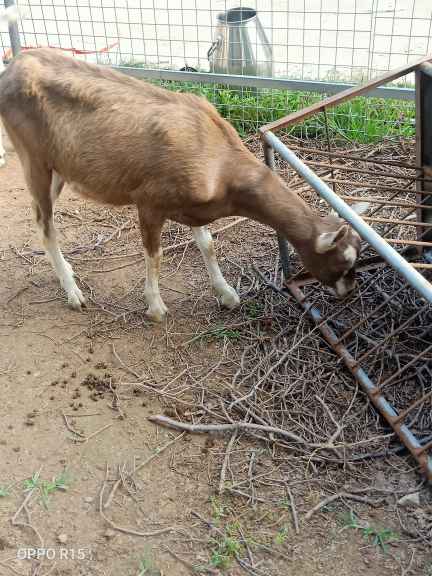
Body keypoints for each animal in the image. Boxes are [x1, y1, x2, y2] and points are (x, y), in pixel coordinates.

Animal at [0, 47, 368, 322]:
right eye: (344, 261)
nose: (350, 292)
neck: (220, 162)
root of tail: (13, 66)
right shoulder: (149, 201)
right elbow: (155, 254)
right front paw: (155, 307)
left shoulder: (193, 206)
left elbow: (207, 245)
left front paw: (227, 294)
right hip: (33, 159)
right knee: (44, 222)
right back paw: (74, 293)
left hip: (58, 168)